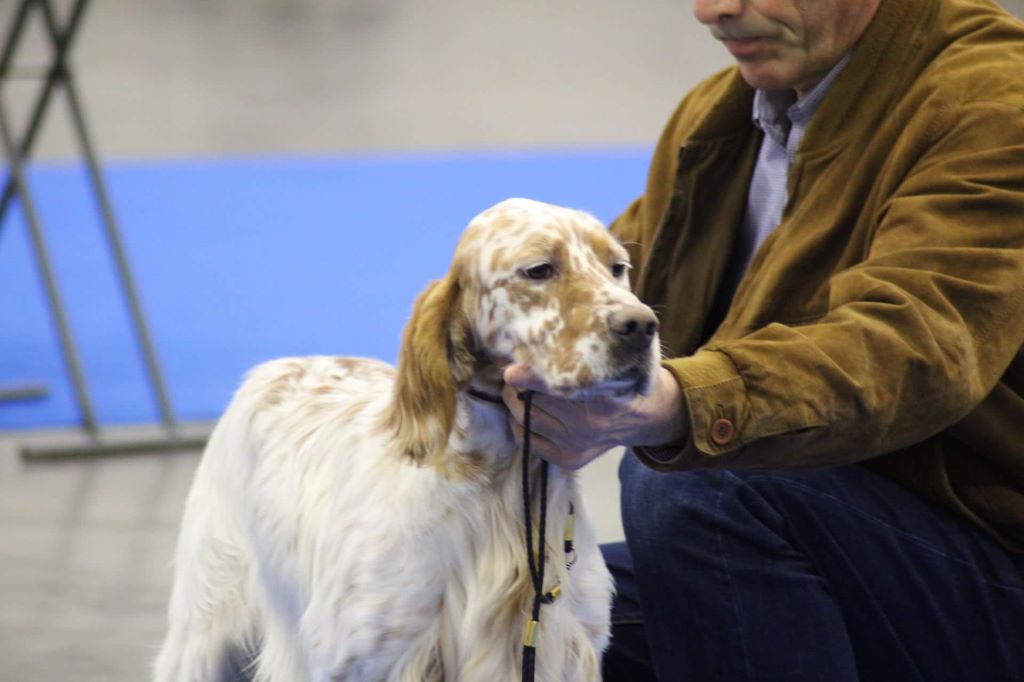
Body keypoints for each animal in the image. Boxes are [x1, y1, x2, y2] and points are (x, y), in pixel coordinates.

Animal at [154, 197, 659, 679]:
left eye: (618, 267)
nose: (641, 325)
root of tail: (274, 367)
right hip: (205, 627)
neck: (495, 482)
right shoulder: (362, 658)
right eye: (538, 270)